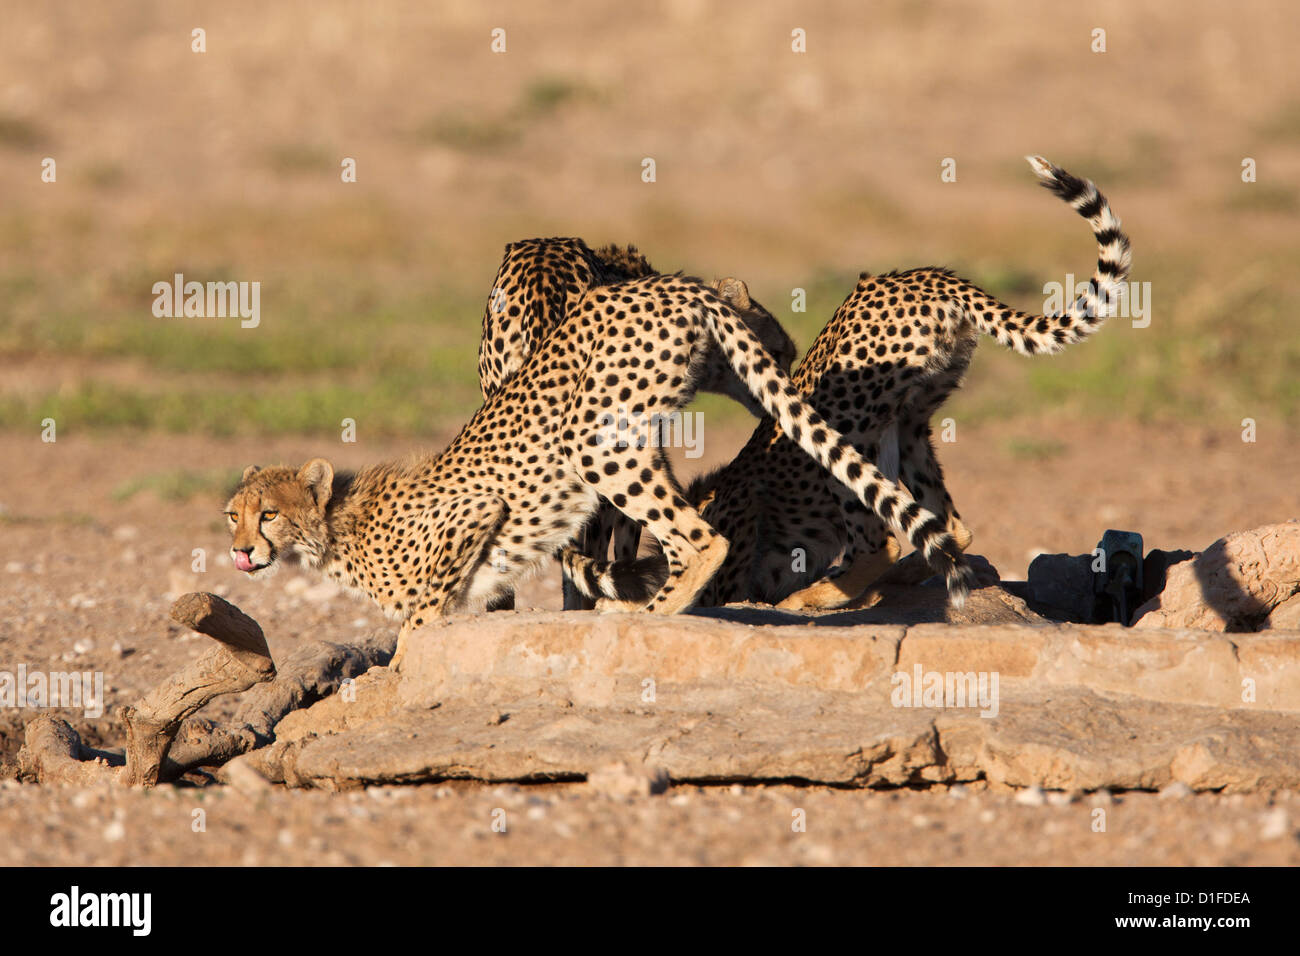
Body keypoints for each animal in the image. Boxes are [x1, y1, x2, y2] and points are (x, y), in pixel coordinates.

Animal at [564, 153, 1133, 608]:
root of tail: (926, 277)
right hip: (910, 421)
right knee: (950, 528)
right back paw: (911, 570)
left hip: (847, 420)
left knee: (880, 541)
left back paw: (815, 596)